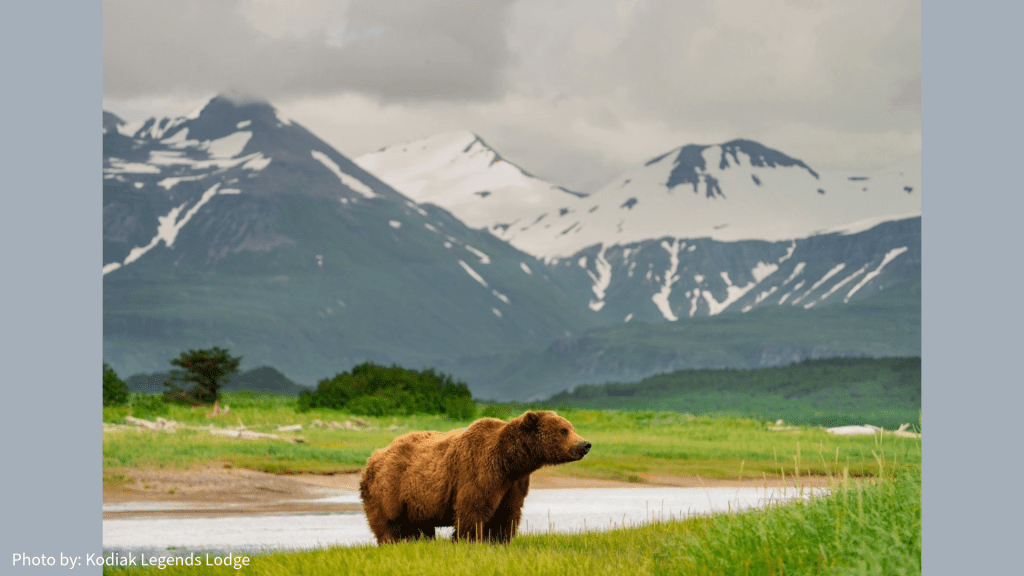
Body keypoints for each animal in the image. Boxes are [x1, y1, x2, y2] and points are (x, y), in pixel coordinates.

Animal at [359, 410, 591, 544]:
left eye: (571, 427)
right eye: (563, 430)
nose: (585, 444)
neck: (510, 462)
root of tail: (372, 458)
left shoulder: (513, 484)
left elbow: (508, 513)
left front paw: (499, 540)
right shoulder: (479, 470)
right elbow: (473, 508)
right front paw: (468, 540)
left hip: (416, 502)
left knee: (420, 527)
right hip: (388, 490)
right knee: (389, 524)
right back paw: (392, 542)